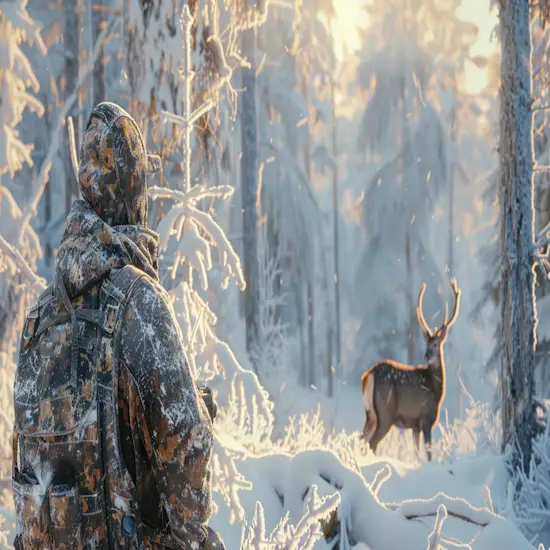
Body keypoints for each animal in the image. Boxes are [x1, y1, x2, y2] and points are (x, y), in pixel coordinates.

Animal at [362, 278, 462, 464]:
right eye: (427, 344)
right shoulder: (427, 418)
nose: (426, 355)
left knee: (360, 438)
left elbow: (416, 452)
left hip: (370, 414)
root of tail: (369, 375)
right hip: (385, 413)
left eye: (435, 344)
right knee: (372, 443)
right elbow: (428, 453)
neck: (437, 390)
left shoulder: (414, 425)